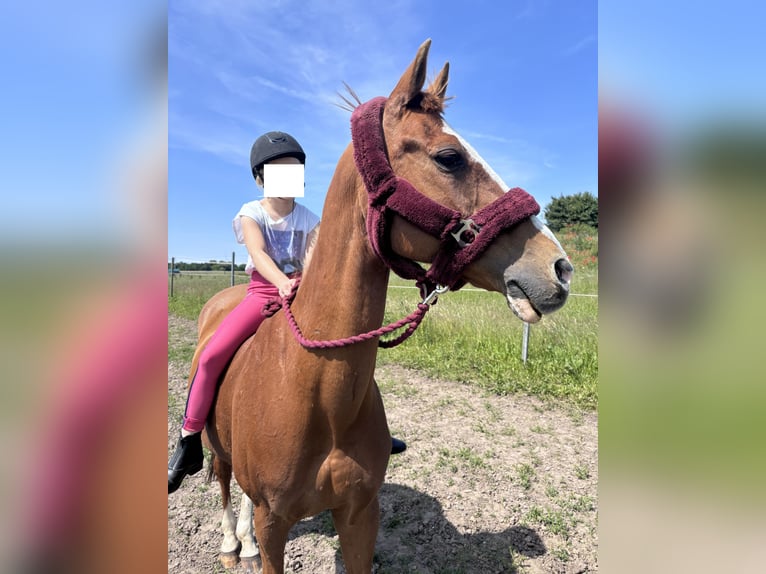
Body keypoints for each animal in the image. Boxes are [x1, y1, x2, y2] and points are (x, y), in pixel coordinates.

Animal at [190, 39, 572, 574]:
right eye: (450, 157)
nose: (560, 268)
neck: (317, 395)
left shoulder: (359, 516)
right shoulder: (274, 524)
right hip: (215, 443)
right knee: (225, 481)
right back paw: (232, 542)